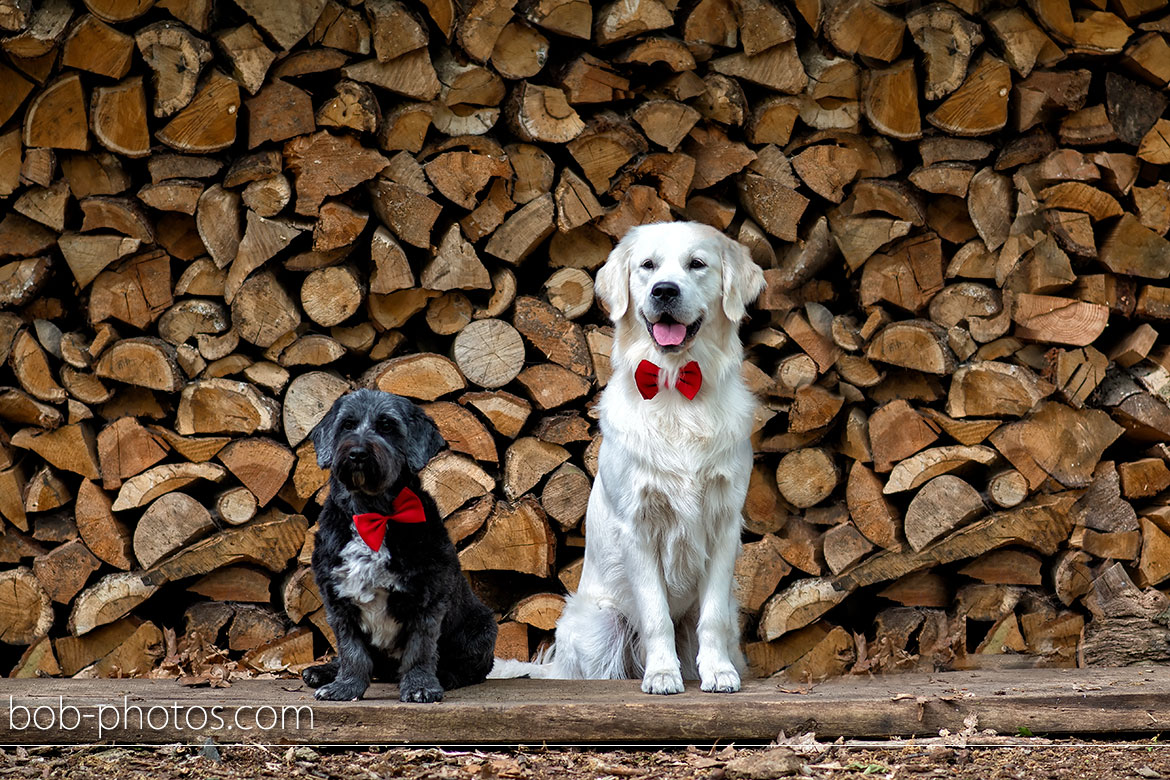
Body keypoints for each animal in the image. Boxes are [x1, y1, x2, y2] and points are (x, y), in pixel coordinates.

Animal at [299, 390, 496, 701]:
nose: (357, 453)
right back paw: (322, 671)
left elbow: (420, 649)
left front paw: (420, 686)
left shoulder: (427, 597)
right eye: (347, 425)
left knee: (471, 668)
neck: (372, 514)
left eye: (387, 426)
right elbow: (351, 651)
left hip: (481, 628)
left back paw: (447, 676)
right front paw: (345, 686)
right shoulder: (338, 600)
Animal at [493, 221, 767, 696]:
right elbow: (656, 614)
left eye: (697, 263)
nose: (664, 291)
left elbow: (712, 614)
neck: (676, 389)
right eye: (648, 266)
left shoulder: (724, 521)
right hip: (600, 625)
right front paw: (661, 674)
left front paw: (718, 672)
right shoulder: (639, 525)